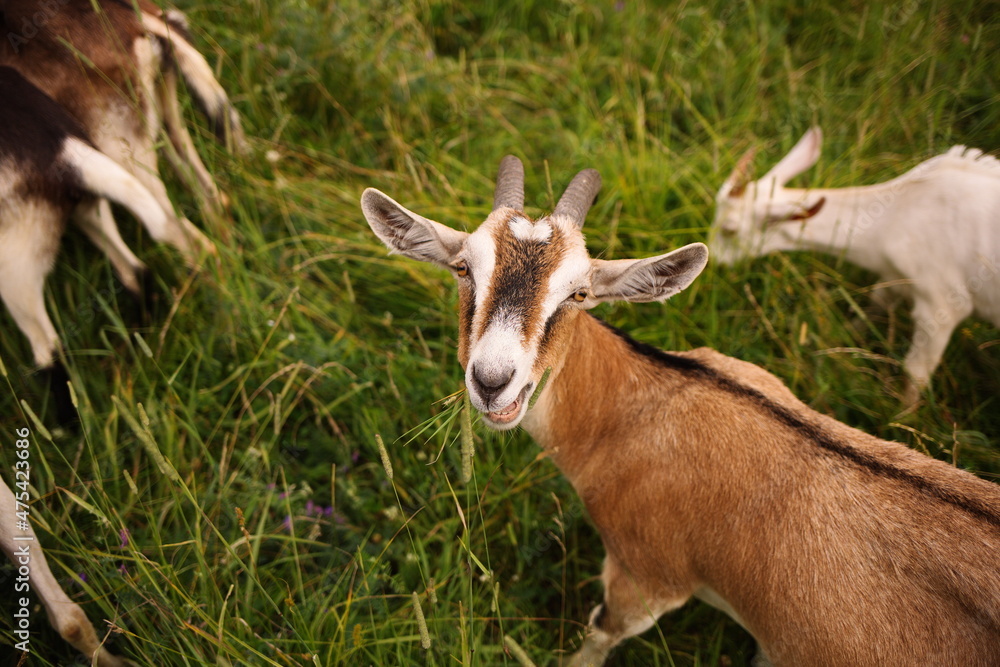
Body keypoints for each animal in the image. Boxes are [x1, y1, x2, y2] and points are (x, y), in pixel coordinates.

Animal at [364, 158, 1000, 667]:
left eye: (578, 293)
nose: (494, 381)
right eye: (463, 268)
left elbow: (598, 636)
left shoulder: (646, 577)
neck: (644, 408)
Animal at [708, 129, 1000, 404]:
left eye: (729, 230)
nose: (715, 262)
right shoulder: (893, 278)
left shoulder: (942, 303)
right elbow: (872, 306)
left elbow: (916, 373)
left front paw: (902, 415)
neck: (897, 217)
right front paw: (844, 338)